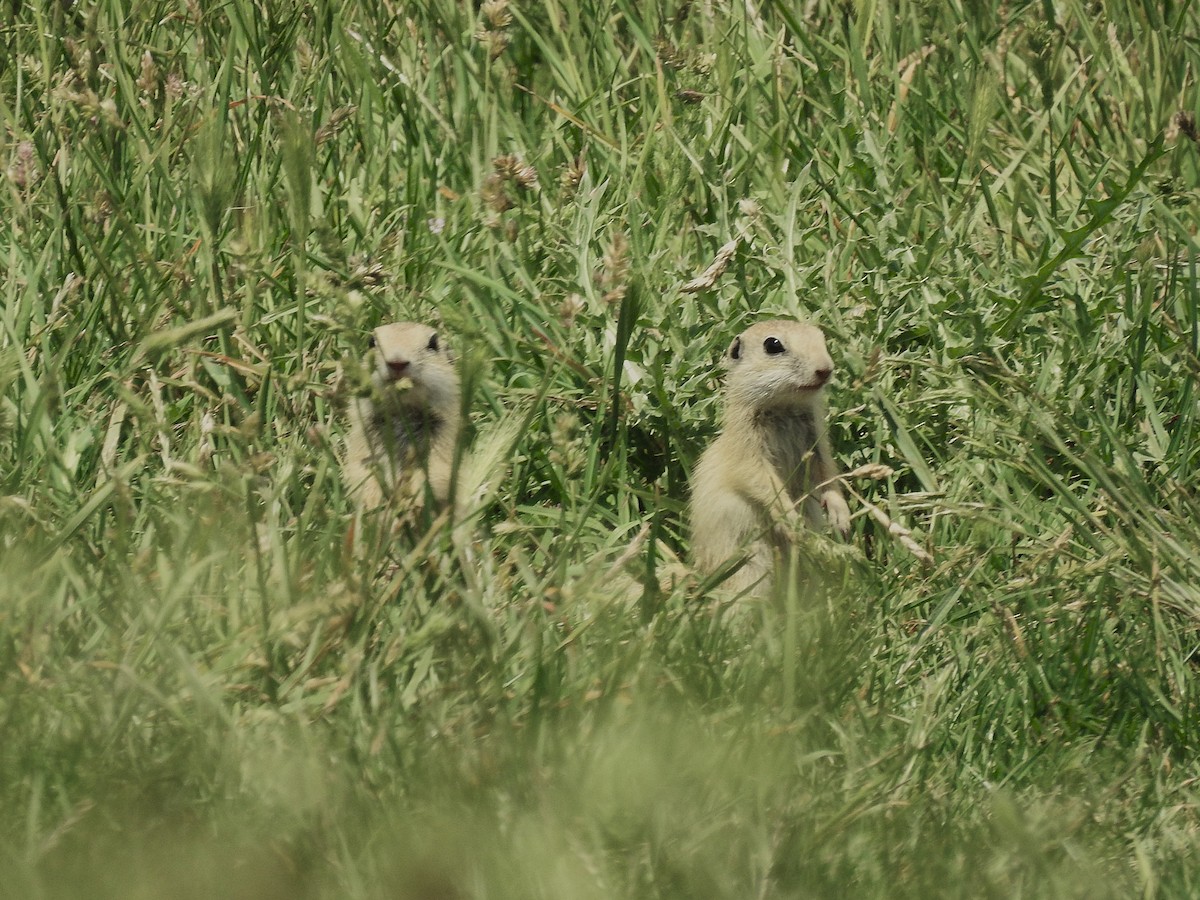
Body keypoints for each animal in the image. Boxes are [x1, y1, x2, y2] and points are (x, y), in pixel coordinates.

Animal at [342, 321, 461, 510]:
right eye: (371, 342)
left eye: (433, 343)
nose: (397, 363)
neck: (404, 409)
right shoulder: (365, 433)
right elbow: (361, 469)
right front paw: (374, 503)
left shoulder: (443, 433)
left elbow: (436, 470)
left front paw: (413, 502)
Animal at [689, 319, 851, 594]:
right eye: (772, 345)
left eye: (820, 336)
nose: (825, 369)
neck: (784, 407)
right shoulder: (748, 452)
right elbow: (764, 483)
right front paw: (794, 523)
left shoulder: (818, 443)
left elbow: (828, 474)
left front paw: (841, 517)